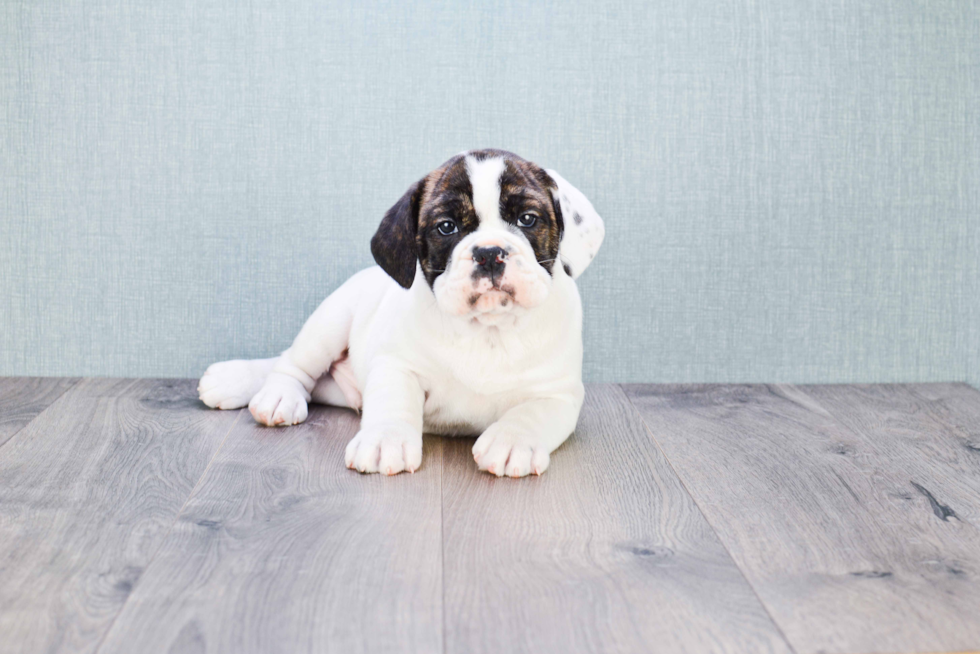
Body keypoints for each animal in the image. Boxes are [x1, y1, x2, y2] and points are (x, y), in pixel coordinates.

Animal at [196, 150, 600, 476]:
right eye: (446, 227)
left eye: (528, 219)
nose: (488, 253)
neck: (487, 329)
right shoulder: (397, 366)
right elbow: (393, 403)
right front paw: (384, 441)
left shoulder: (558, 393)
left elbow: (530, 414)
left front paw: (511, 441)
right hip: (331, 320)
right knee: (293, 365)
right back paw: (272, 394)